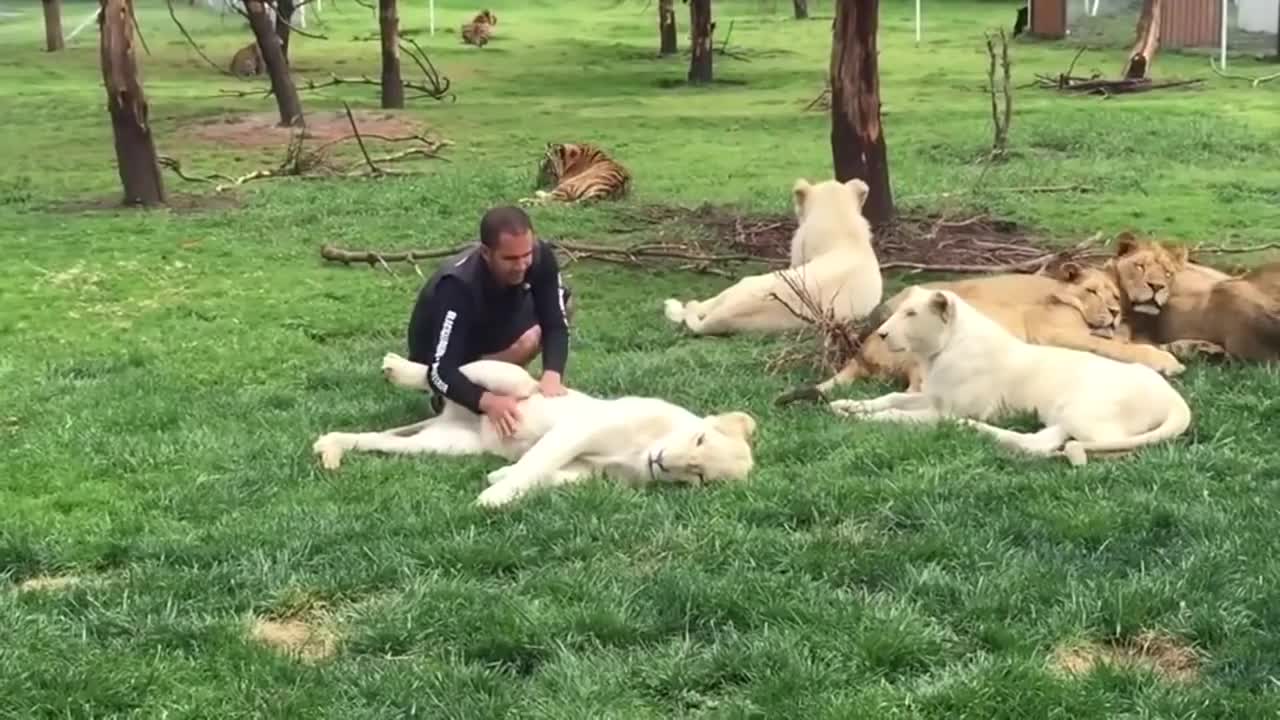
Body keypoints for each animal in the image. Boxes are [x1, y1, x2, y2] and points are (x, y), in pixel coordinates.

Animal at [311, 353, 757, 504]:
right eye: (699, 439)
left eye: (699, 476)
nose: (663, 463)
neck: (640, 454)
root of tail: (452, 415)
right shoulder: (579, 428)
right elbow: (538, 463)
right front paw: (490, 500)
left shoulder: (589, 472)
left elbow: (548, 474)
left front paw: (498, 477)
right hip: (511, 379)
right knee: (443, 368)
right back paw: (395, 367)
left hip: (445, 444)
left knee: (378, 439)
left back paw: (329, 450)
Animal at [829, 285, 1187, 466]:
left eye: (911, 314)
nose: (882, 334)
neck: (943, 349)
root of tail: (1174, 399)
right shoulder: (931, 396)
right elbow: (890, 397)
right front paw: (845, 405)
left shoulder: (942, 409)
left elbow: (898, 415)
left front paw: (861, 418)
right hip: (1061, 414)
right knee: (1038, 441)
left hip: (1082, 412)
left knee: (1090, 445)